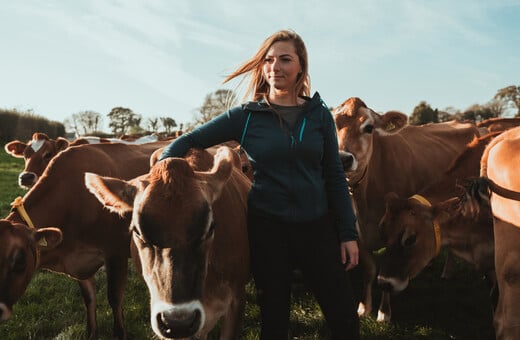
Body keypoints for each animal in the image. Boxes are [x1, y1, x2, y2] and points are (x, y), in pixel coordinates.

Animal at [0, 139, 169, 338]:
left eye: (20, 260)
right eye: (25, 154)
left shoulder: (116, 253)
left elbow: (114, 298)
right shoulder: (80, 262)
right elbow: (89, 299)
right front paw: (91, 334)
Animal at [334, 96, 480, 322]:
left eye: (369, 128)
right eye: (332, 123)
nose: (343, 158)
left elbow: (387, 269)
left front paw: (384, 313)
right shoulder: (357, 234)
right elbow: (369, 270)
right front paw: (364, 307)